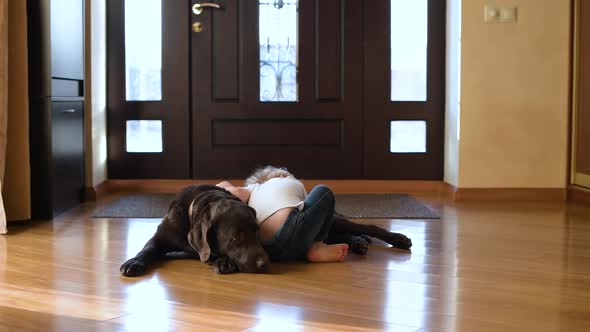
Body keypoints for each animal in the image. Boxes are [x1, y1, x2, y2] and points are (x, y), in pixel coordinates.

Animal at [122, 184, 414, 274]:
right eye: (236, 237)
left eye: (258, 232)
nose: (266, 263)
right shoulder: (161, 236)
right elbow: (148, 248)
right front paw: (134, 262)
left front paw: (223, 261)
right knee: (343, 235)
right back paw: (358, 242)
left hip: (336, 220)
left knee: (367, 226)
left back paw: (397, 238)